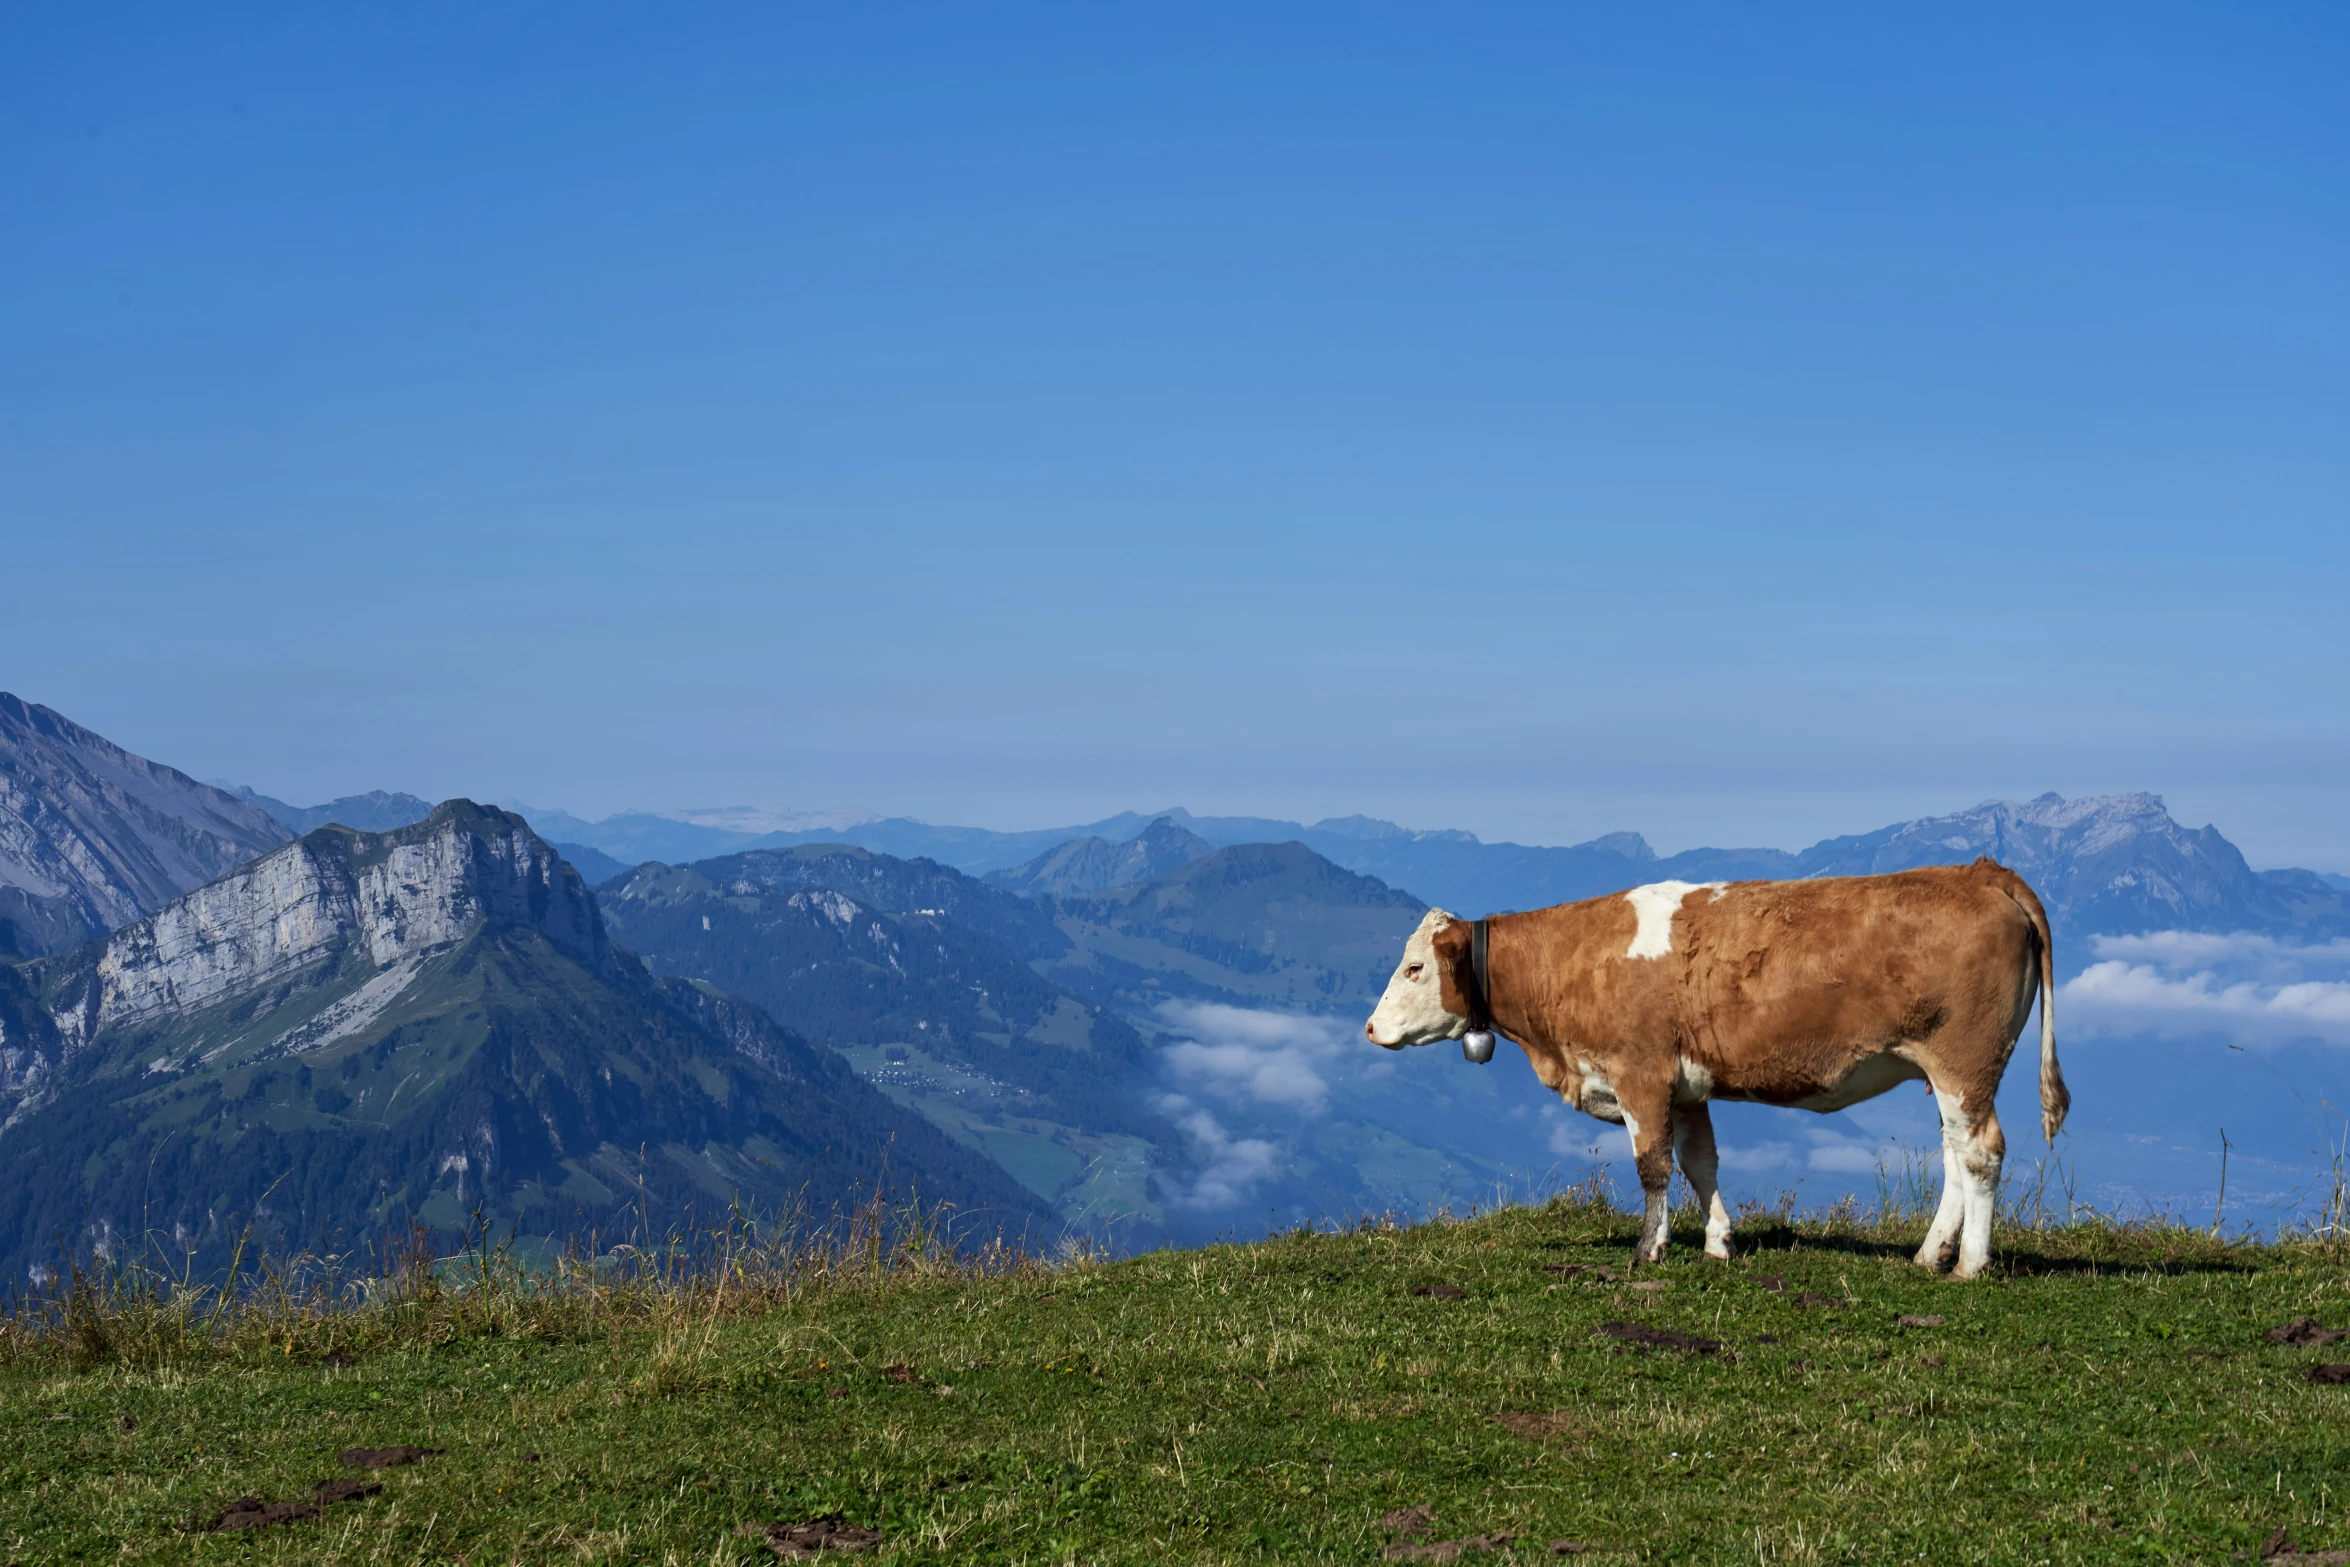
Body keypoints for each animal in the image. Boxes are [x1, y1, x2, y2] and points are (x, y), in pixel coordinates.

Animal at [1372, 864, 2068, 1278]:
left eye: (1414, 967)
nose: (1371, 1029)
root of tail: (1981, 872)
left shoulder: (1640, 1073)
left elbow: (1653, 1167)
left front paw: (1648, 1250)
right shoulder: (1686, 1087)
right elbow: (1699, 1161)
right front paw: (1718, 1242)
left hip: (1964, 1060)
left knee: (1980, 1151)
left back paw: (1970, 1265)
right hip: (1947, 1073)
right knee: (1955, 1152)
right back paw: (1929, 1254)